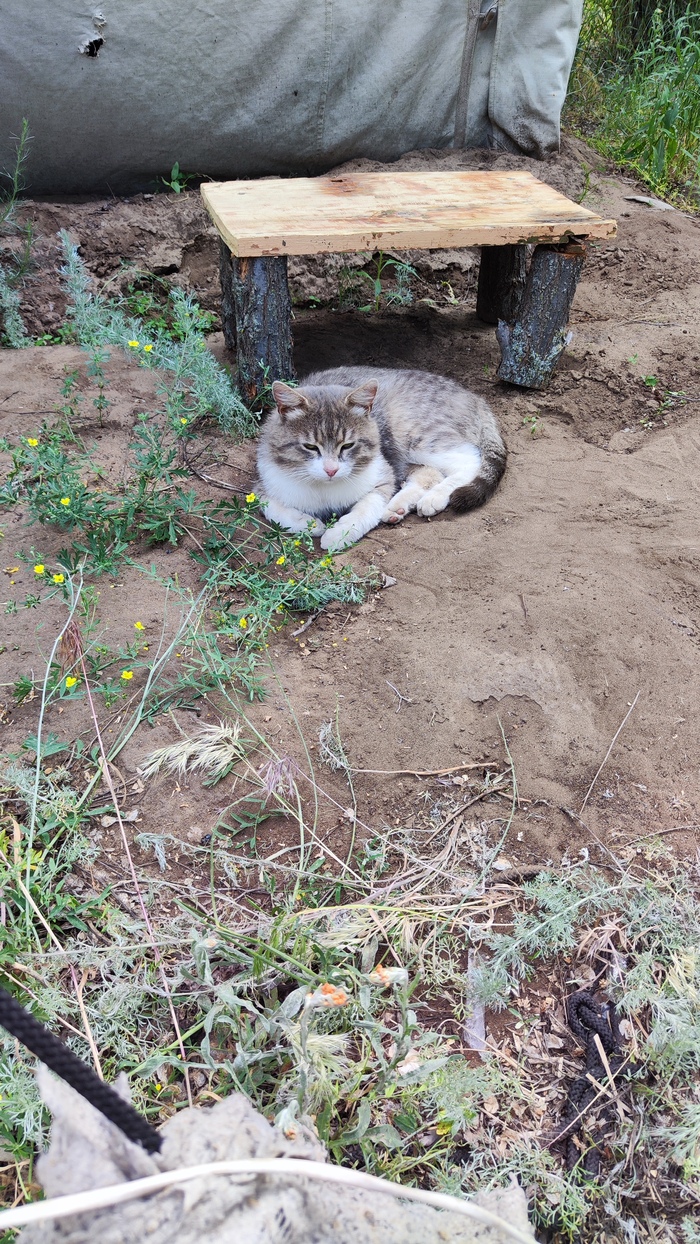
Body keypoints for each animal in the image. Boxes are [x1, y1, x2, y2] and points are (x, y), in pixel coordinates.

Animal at [254, 363, 507, 552]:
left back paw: (433, 497)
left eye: (348, 445)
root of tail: (473, 396)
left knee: (469, 459)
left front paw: (339, 534)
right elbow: (270, 506)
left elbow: (367, 507)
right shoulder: (265, 481)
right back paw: (397, 507)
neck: (325, 489)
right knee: (430, 471)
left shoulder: (381, 473)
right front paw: (307, 523)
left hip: (414, 432)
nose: (331, 470)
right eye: (309, 447)